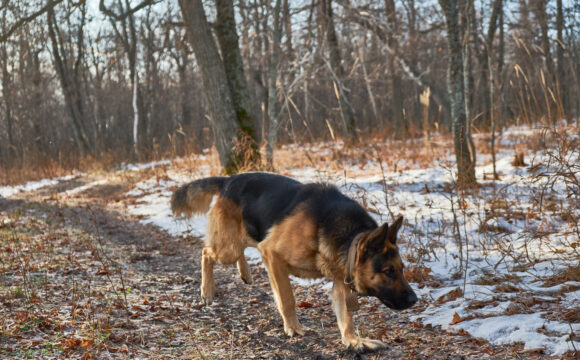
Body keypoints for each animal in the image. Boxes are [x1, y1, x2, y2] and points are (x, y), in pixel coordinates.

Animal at [171, 173, 416, 350]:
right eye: (388, 271)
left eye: (402, 269)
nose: (415, 300)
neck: (348, 237)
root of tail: (228, 180)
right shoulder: (272, 255)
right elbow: (287, 298)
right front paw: (293, 327)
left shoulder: (339, 280)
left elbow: (345, 317)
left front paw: (354, 340)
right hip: (227, 248)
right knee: (206, 252)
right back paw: (207, 290)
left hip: (241, 239)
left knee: (241, 247)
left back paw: (245, 273)